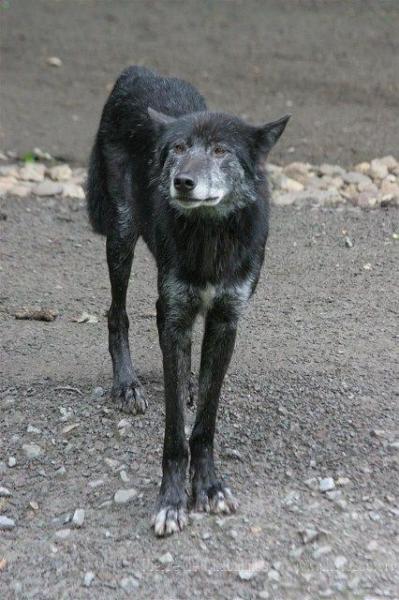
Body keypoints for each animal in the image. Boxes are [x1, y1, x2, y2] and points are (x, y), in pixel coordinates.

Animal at [86, 67, 290, 540]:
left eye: (220, 150)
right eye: (178, 149)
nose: (182, 181)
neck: (210, 237)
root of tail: (136, 71)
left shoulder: (226, 320)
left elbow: (205, 424)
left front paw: (210, 487)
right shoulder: (176, 313)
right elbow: (175, 433)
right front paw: (173, 500)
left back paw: (189, 382)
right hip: (121, 238)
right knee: (117, 314)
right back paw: (127, 385)